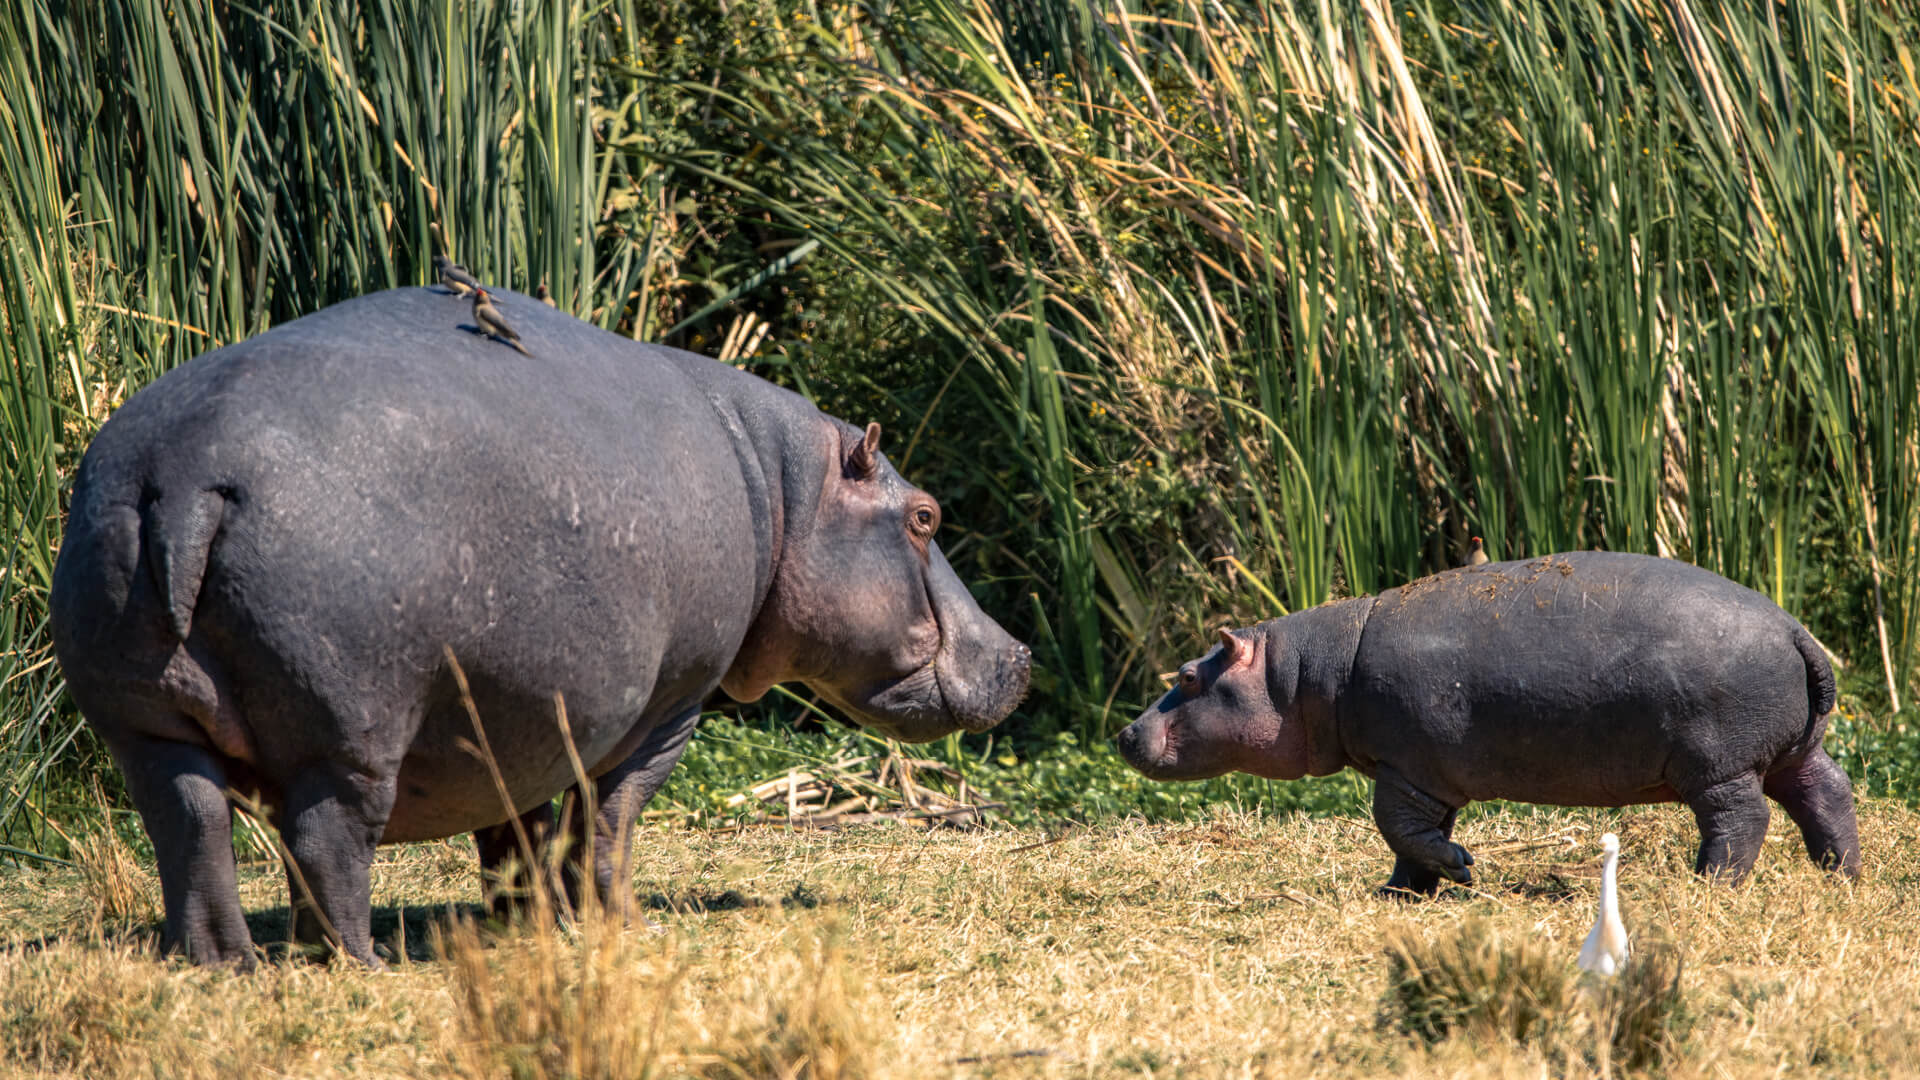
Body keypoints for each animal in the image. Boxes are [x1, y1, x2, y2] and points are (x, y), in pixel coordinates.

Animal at [49, 287, 1030, 967]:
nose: (1020, 654)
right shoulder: (666, 707)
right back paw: (356, 962)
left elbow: (515, 827)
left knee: (191, 828)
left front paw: (526, 923)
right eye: (926, 517)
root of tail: (184, 475)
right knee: (328, 839)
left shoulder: (514, 710)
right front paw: (616, 924)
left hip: (144, 723)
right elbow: (606, 822)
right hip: (351, 730)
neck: (783, 489)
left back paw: (224, 962)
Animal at [1117, 552, 1859, 894]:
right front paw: (1400, 893)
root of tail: (1796, 631)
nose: (1124, 733)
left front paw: (1463, 871)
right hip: (1789, 751)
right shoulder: (1425, 776)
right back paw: (1842, 875)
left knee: (1740, 821)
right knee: (1827, 793)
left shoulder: (1405, 767)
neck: (1302, 674)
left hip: (1718, 763)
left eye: (1188, 677)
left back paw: (1707, 885)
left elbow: (1399, 827)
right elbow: (1414, 839)